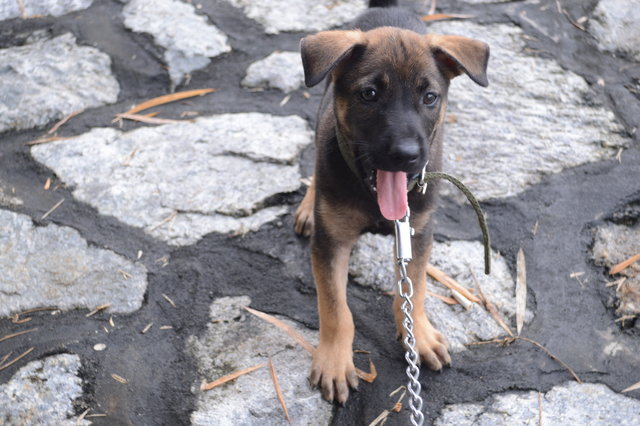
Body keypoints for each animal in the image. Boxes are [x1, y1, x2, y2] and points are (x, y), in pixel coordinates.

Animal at [292, 0, 488, 402]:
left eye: (429, 97)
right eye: (369, 94)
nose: (407, 156)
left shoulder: (416, 234)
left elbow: (415, 290)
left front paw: (419, 335)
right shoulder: (330, 243)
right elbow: (336, 309)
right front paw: (334, 361)